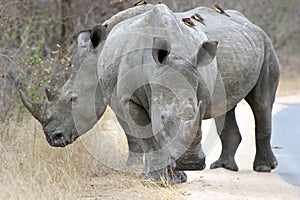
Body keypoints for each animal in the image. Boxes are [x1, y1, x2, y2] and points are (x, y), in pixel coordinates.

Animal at [20, 4, 278, 183]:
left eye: (72, 99)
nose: (53, 138)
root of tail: (250, 23)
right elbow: (143, 134)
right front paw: (157, 175)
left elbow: (135, 135)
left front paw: (134, 171)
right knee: (227, 107)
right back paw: (223, 167)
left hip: (266, 42)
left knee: (261, 103)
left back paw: (263, 168)